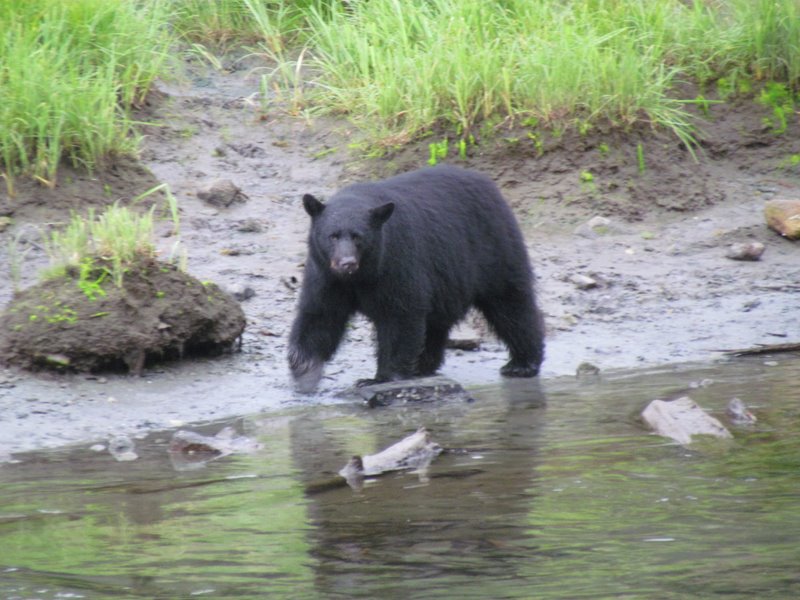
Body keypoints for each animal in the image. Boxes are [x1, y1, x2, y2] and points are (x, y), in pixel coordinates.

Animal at [288, 165, 544, 392]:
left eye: (358, 237)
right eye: (332, 236)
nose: (347, 263)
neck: (360, 276)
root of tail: (489, 183)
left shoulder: (396, 262)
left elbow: (400, 314)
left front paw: (380, 378)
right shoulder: (326, 275)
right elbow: (321, 315)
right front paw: (306, 371)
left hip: (493, 248)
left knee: (510, 305)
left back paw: (522, 363)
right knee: (437, 322)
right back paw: (423, 365)